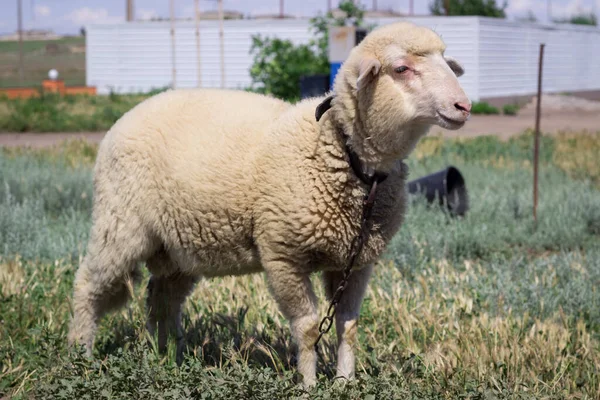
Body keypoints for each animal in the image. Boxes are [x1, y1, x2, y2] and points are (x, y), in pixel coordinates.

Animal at [67, 21, 468, 388]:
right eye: (401, 68)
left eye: (445, 62)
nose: (463, 106)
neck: (341, 150)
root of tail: (127, 116)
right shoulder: (283, 254)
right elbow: (308, 329)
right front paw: (309, 385)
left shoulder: (356, 261)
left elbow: (348, 326)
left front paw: (344, 382)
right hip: (121, 222)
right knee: (88, 284)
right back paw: (82, 355)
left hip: (180, 247)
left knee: (161, 298)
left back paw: (165, 356)